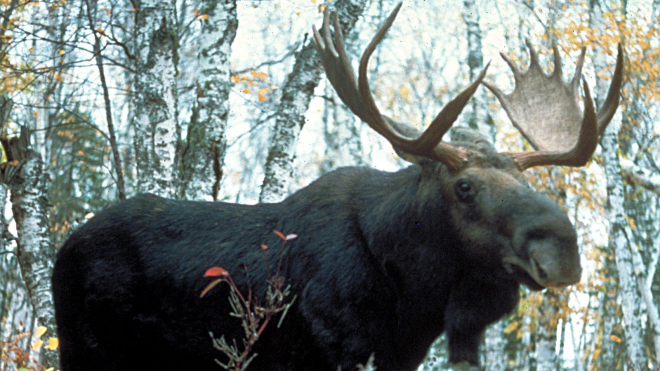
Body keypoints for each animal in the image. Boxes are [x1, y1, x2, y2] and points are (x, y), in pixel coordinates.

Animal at [52, 3, 624, 371]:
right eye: (463, 186)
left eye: (526, 177)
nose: (563, 247)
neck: (413, 290)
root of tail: (62, 249)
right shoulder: (334, 345)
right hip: (86, 349)